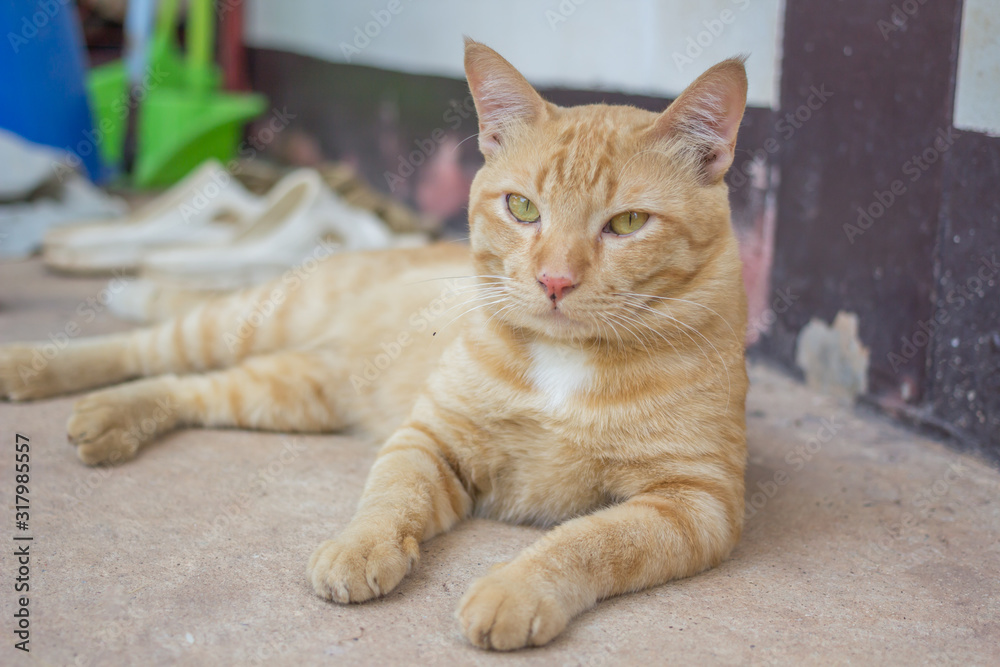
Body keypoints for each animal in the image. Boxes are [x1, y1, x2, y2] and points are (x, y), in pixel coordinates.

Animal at [0, 39, 748, 648]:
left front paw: (516, 588)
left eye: (627, 223)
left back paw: (111, 418)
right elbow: (392, 498)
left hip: (291, 391)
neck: (565, 362)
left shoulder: (693, 503)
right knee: (152, 346)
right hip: (254, 321)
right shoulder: (430, 437)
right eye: (522, 208)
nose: (555, 280)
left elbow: (589, 541)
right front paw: (358, 549)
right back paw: (33, 366)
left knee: (192, 389)